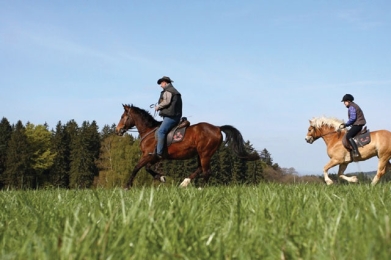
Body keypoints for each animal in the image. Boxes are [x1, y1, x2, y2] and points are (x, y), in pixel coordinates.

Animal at [115, 104, 260, 188]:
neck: (149, 131)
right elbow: (147, 168)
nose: (117, 130)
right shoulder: (154, 157)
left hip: (205, 153)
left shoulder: (147, 155)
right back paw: (184, 183)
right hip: (201, 154)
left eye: (123, 116)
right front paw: (161, 177)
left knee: (206, 171)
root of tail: (218, 128)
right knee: (200, 169)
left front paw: (127, 186)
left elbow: (136, 168)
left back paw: (200, 188)